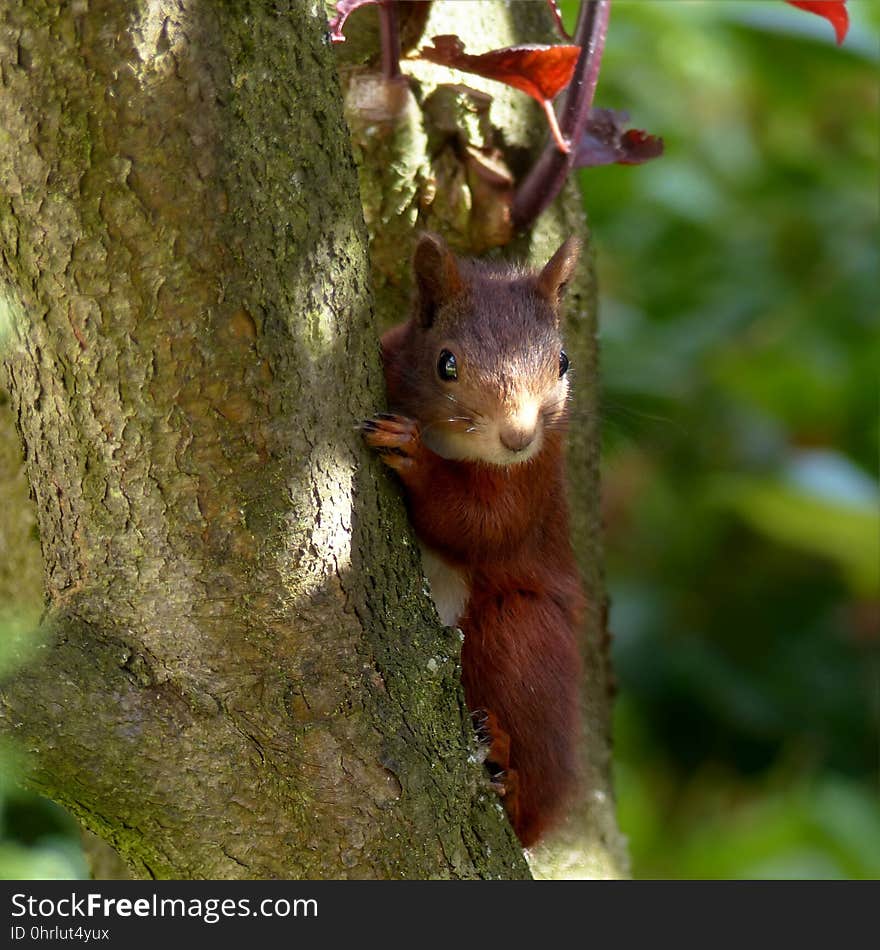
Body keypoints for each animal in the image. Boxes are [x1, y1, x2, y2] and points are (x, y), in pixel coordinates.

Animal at [364, 236, 584, 848]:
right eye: (447, 363)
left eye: (563, 361)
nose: (518, 436)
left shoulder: (538, 475)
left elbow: (483, 522)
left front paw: (416, 458)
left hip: (523, 636)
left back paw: (507, 772)